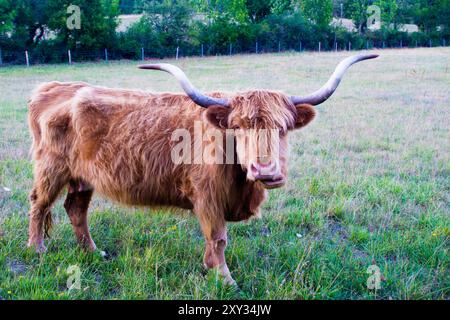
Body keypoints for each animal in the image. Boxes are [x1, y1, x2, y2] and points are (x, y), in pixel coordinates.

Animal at [28, 53, 378, 284]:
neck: (241, 185)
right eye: (238, 127)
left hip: (83, 177)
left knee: (76, 209)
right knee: (39, 203)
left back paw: (91, 252)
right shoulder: (207, 199)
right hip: (51, 168)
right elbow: (218, 238)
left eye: (283, 128)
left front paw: (211, 268)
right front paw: (224, 278)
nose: (265, 170)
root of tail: (53, 87)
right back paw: (37, 249)